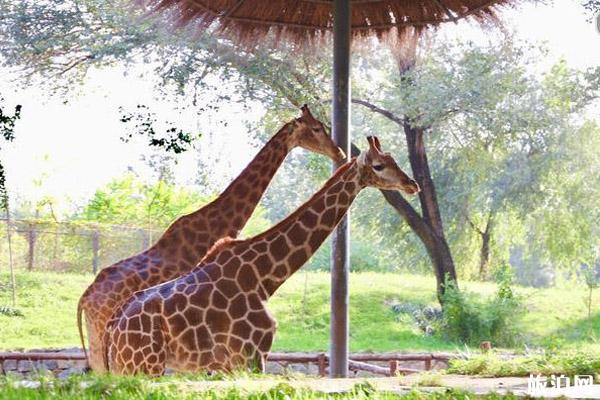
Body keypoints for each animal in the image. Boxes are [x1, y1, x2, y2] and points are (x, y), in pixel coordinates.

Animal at [103, 137, 420, 376]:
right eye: (379, 165)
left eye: (395, 160)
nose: (412, 185)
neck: (265, 276)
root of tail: (112, 327)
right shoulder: (252, 354)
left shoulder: (232, 363)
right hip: (143, 365)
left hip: (127, 367)